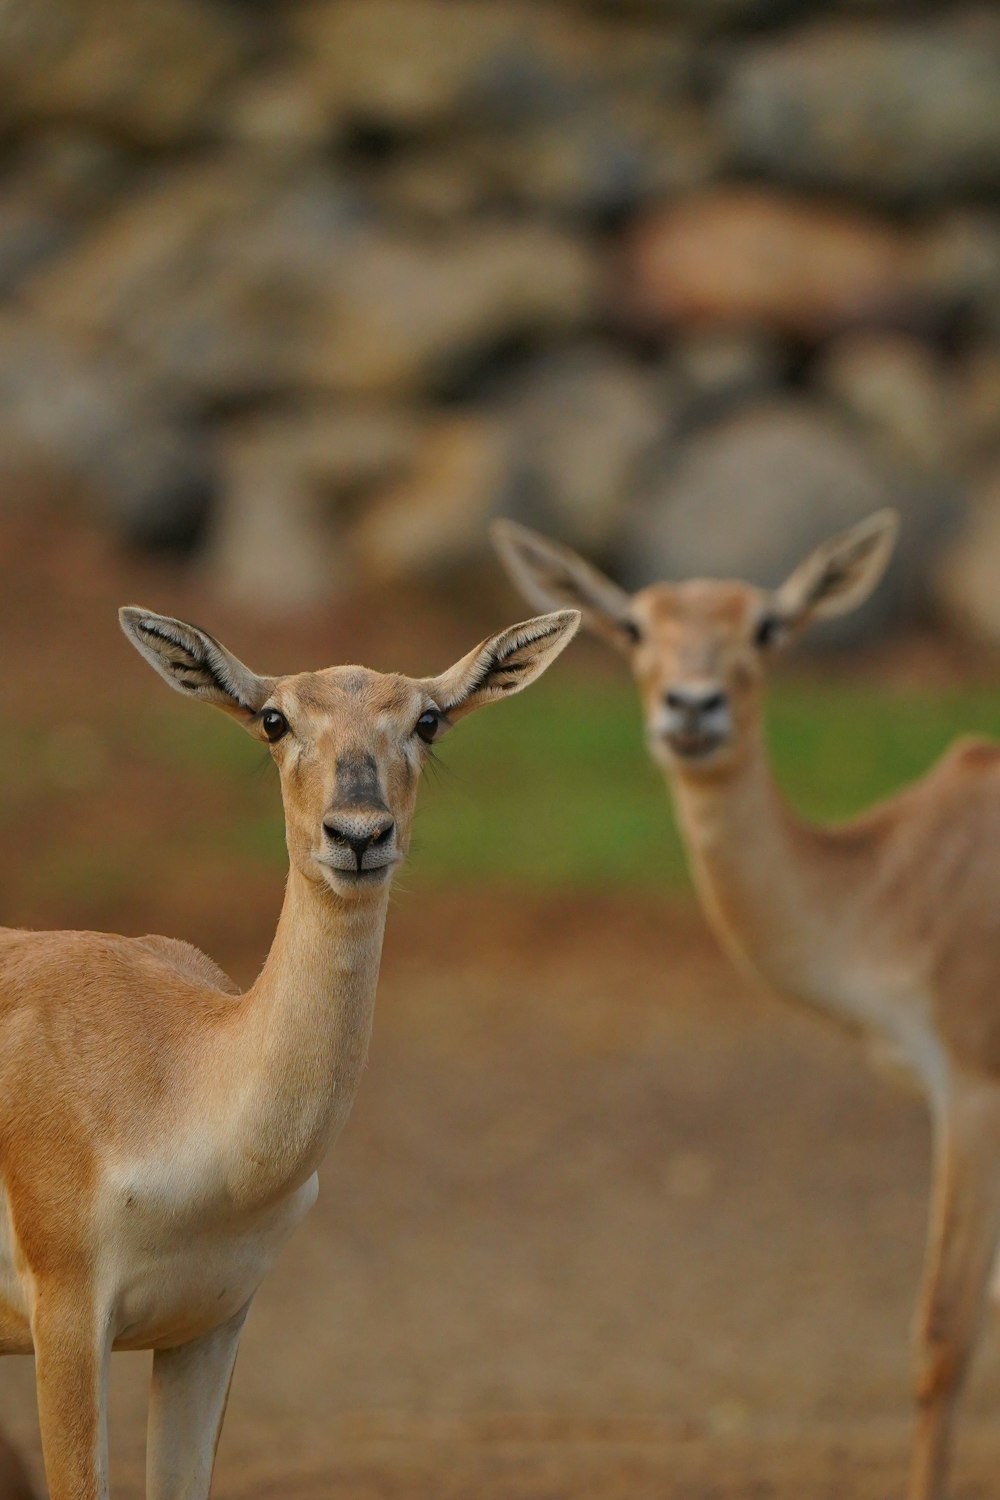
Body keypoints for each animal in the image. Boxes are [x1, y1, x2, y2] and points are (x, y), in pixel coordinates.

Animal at [497, 513, 1000, 1500]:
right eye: (635, 625)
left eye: (767, 625)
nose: (692, 709)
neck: (895, 881)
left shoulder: (972, 1088)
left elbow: (943, 1337)